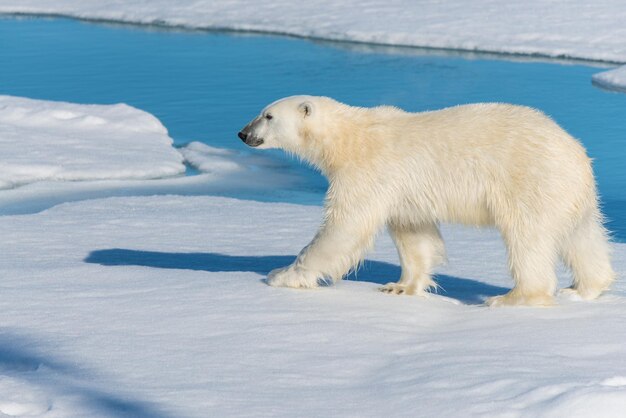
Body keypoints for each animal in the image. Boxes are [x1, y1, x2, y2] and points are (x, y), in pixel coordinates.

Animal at [236, 94, 612, 306]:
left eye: (268, 116)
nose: (242, 133)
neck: (348, 138)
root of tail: (576, 152)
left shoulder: (369, 170)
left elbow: (345, 226)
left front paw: (282, 274)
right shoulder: (404, 192)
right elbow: (414, 235)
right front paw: (400, 287)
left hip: (529, 180)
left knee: (528, 238)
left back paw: (513, 298)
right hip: (569, 192)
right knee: (581, 236)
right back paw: (584, 289)